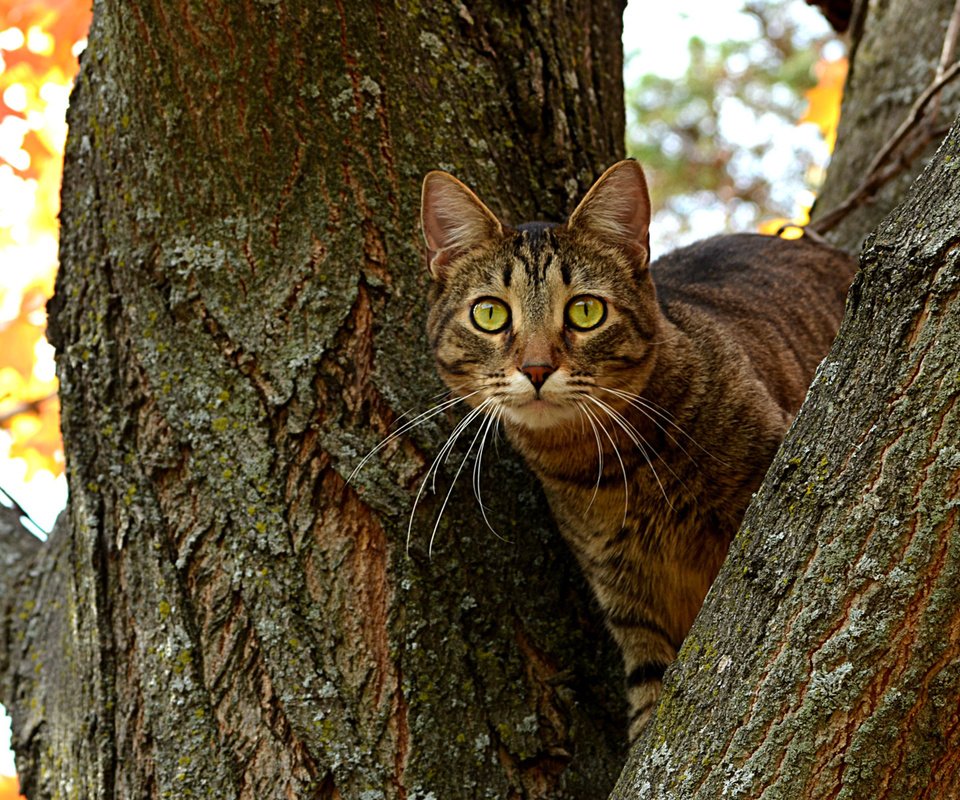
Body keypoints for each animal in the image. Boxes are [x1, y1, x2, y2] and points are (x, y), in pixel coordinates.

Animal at [420, 159, 856, 740]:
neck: (614, 466)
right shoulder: (630, 602)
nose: (535, 368)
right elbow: (651, 704)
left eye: (585, 312)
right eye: (490, 314)